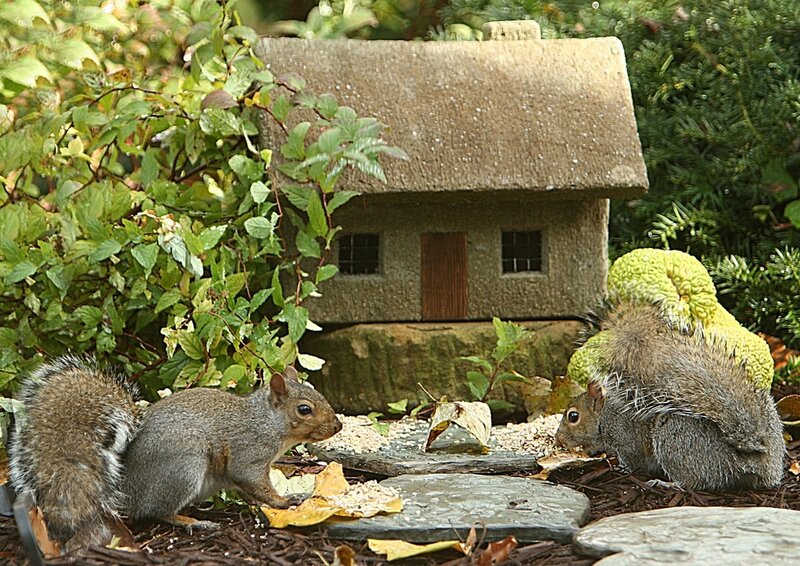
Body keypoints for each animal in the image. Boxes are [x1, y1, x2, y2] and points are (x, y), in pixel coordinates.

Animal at [8, 355, 342, 553]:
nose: (338, 425)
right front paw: (286, 502)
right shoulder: (249, 453)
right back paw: (193, 521)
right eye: (304, 409)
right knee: (157, 511)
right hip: (184, 468)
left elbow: (249, 491)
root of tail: (125, 489)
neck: (268, 421)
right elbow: (254, 482)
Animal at [555, 300, 785, 492]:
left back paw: (665, 483)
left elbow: (633, 458)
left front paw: (622, 468)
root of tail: (746, 461)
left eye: (573, 416)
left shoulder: (625, 436)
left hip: (673, 442)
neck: (604, 414)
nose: (558, 440)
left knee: (693, 481)